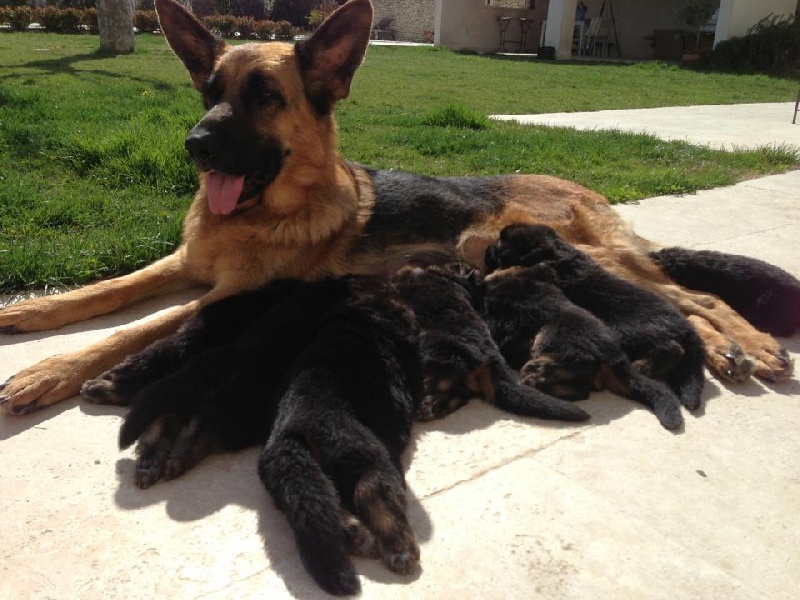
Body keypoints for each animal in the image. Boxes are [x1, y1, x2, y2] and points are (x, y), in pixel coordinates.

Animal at [482, 264, 680, 428]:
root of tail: (614, 356)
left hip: (549, 335)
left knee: (578, 367)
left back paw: (537, 371)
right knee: (583, 390)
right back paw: (539, 379)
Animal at [488, 225, 708, 412]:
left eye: (500, 243)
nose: (486, 249)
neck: (553, 248)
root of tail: (687, 325)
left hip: (631, 331)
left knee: (673, 349)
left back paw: (643, 366)